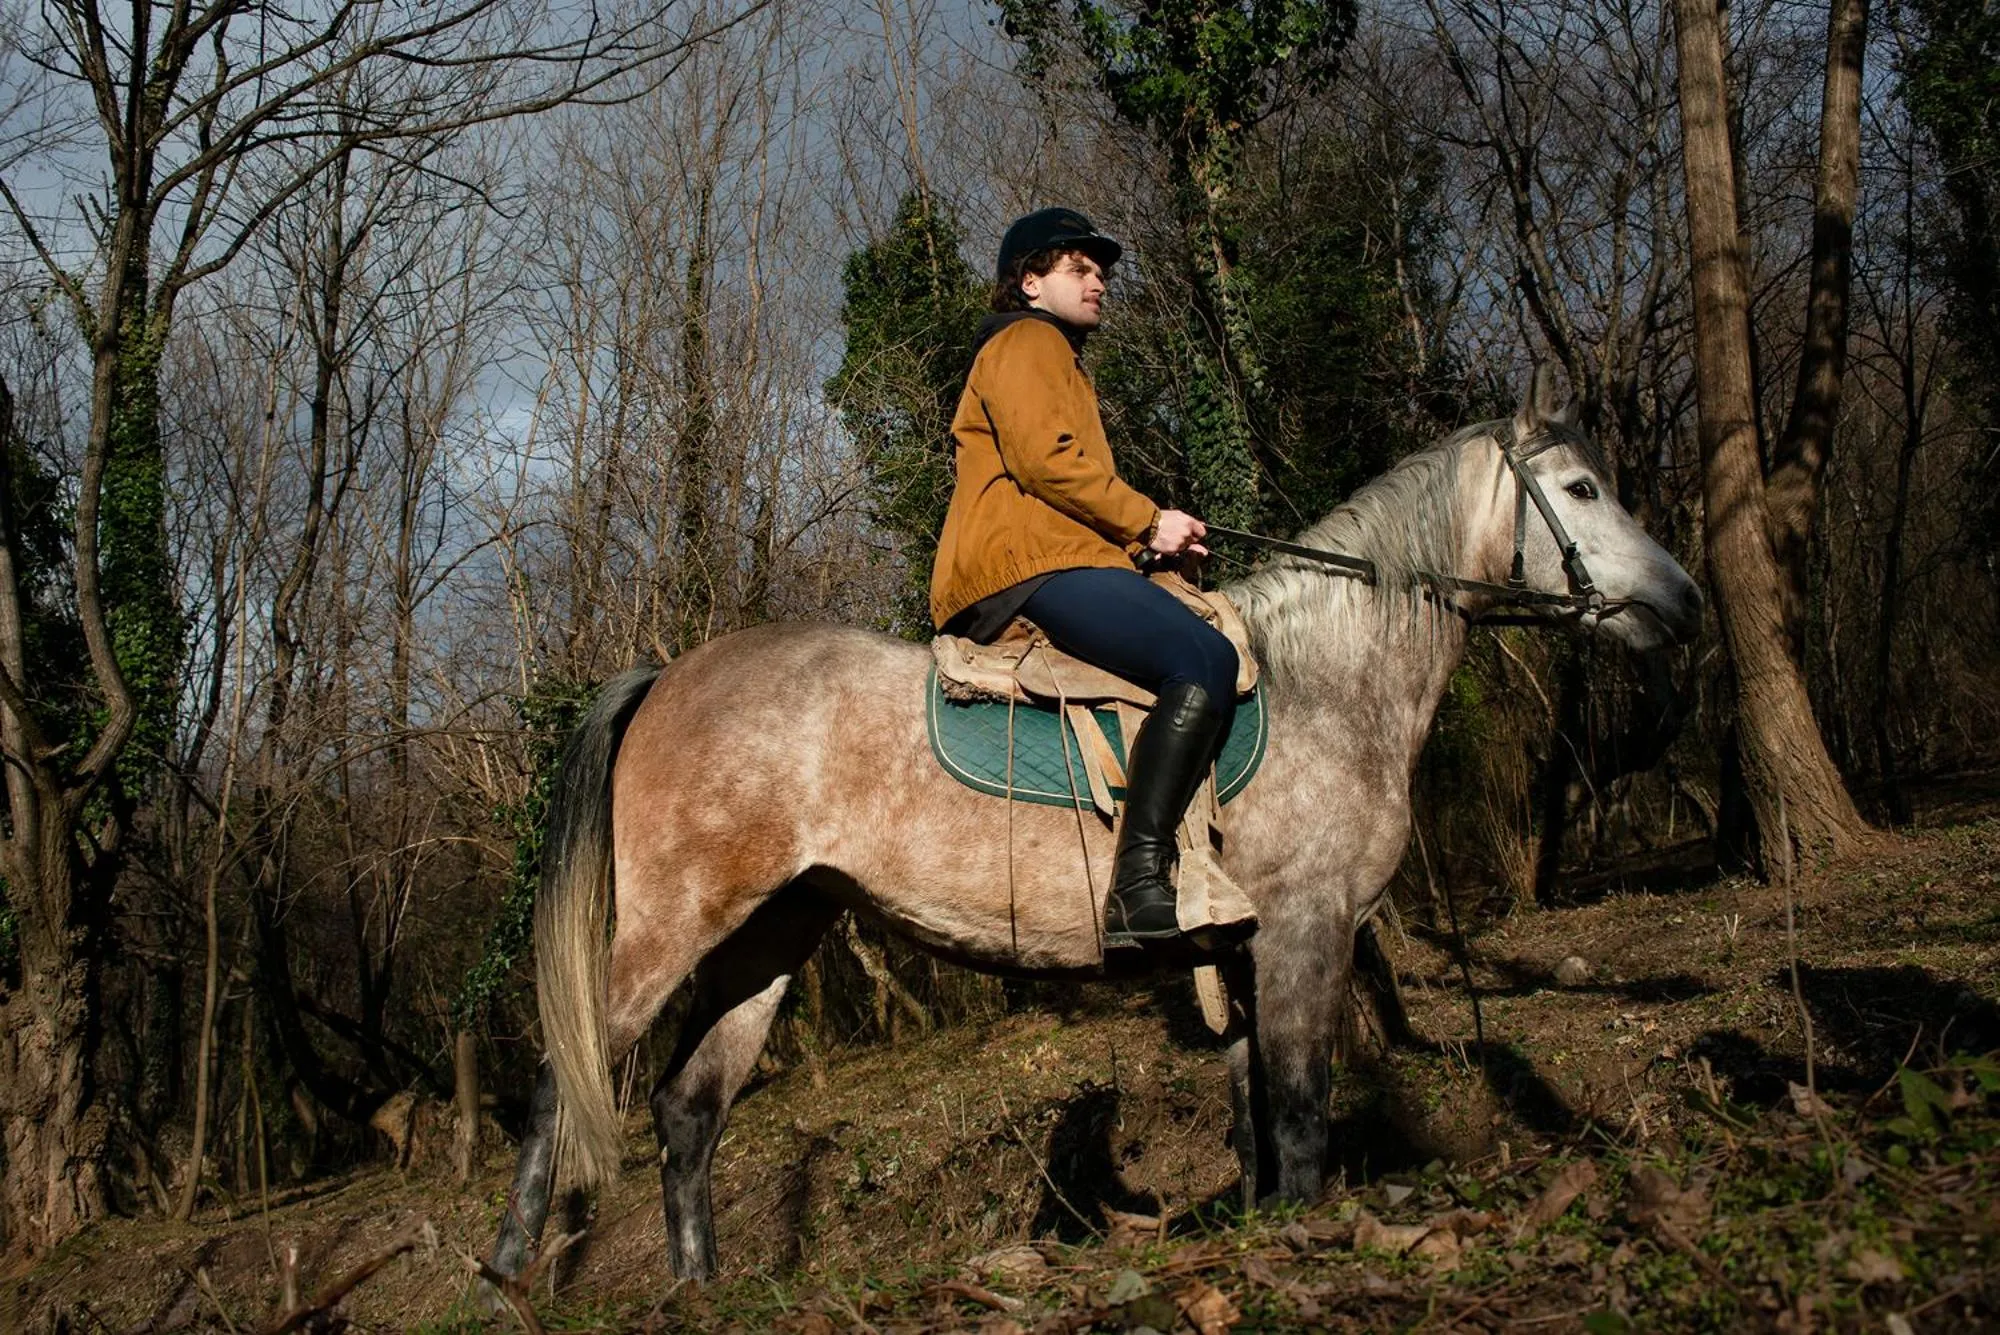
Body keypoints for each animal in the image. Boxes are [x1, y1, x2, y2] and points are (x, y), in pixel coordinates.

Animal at [484, 370, 1703, 1287]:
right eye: (1582, 487)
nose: (1685, 604)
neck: (1323, 677)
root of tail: (663, 675)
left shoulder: (1245, 953)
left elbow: (1255, 1115)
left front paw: (1261, 1232)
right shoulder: (1303, 932)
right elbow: (1302, 1109)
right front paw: (1308, 1238)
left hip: (771, 934)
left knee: (689, 1111)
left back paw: (702, 1294)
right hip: (672, 926)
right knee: (562, 1076)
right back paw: (507, 1267)